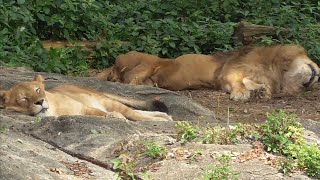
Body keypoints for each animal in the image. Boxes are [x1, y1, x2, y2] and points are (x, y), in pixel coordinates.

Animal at [0, 74, 172, 121]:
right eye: (23, 99)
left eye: (38, 90)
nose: (40, 101)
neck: (53, 111)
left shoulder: (84, 107)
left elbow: (100, 113)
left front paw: (115, 117)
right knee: (137, 113)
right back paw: (164, 116)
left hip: (107, 101)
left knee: (136, 114)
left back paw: (163, 119)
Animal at [96, 44, 318, 101]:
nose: (312, 79)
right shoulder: (229, 71)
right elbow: (238, 82)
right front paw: (241, 94)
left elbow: (252, 82)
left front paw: (261, 91)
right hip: (147, 63)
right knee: (126, 81)